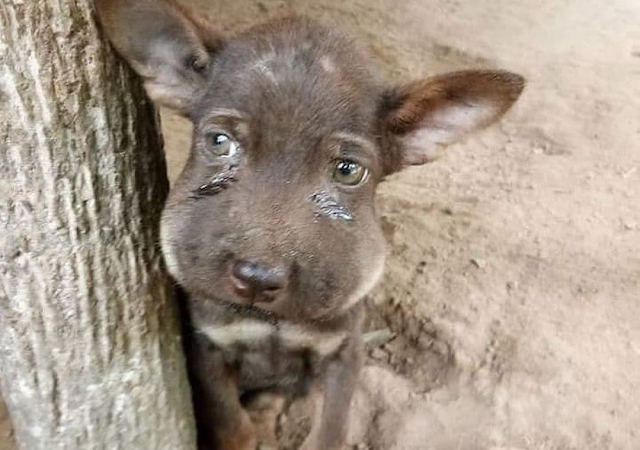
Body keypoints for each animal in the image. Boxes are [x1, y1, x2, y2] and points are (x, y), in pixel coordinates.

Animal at [95, 1, 524, 448]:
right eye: (218, 142)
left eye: (348, 170)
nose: (256, 279)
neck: (271, 321)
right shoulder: (208, 347)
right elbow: (232, 426)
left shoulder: (341, 353)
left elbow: (328, 431)